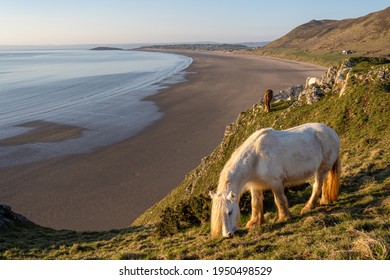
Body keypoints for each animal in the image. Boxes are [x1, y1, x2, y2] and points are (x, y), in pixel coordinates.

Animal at [209, 122, 340, 236]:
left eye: (230, 212)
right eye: (217, 215)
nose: (227, 234)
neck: (255, 157)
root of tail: (332, 132)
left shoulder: (276, 181)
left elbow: (279, 199)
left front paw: (284, 217)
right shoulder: (255, 186)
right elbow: (255, 203)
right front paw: (254, 222)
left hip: (322, 168)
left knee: (317, 186)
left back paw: (308, 207)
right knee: (324, 183)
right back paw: (325, 200)